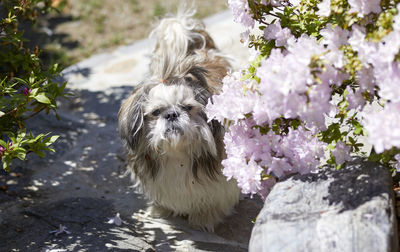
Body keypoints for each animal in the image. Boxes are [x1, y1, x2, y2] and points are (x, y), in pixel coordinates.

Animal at [117, 6, 239, 231]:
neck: (177, 153)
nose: (172, 114)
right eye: (157, 112)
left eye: (188, 108)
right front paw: (162, 210)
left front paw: (204, 217)